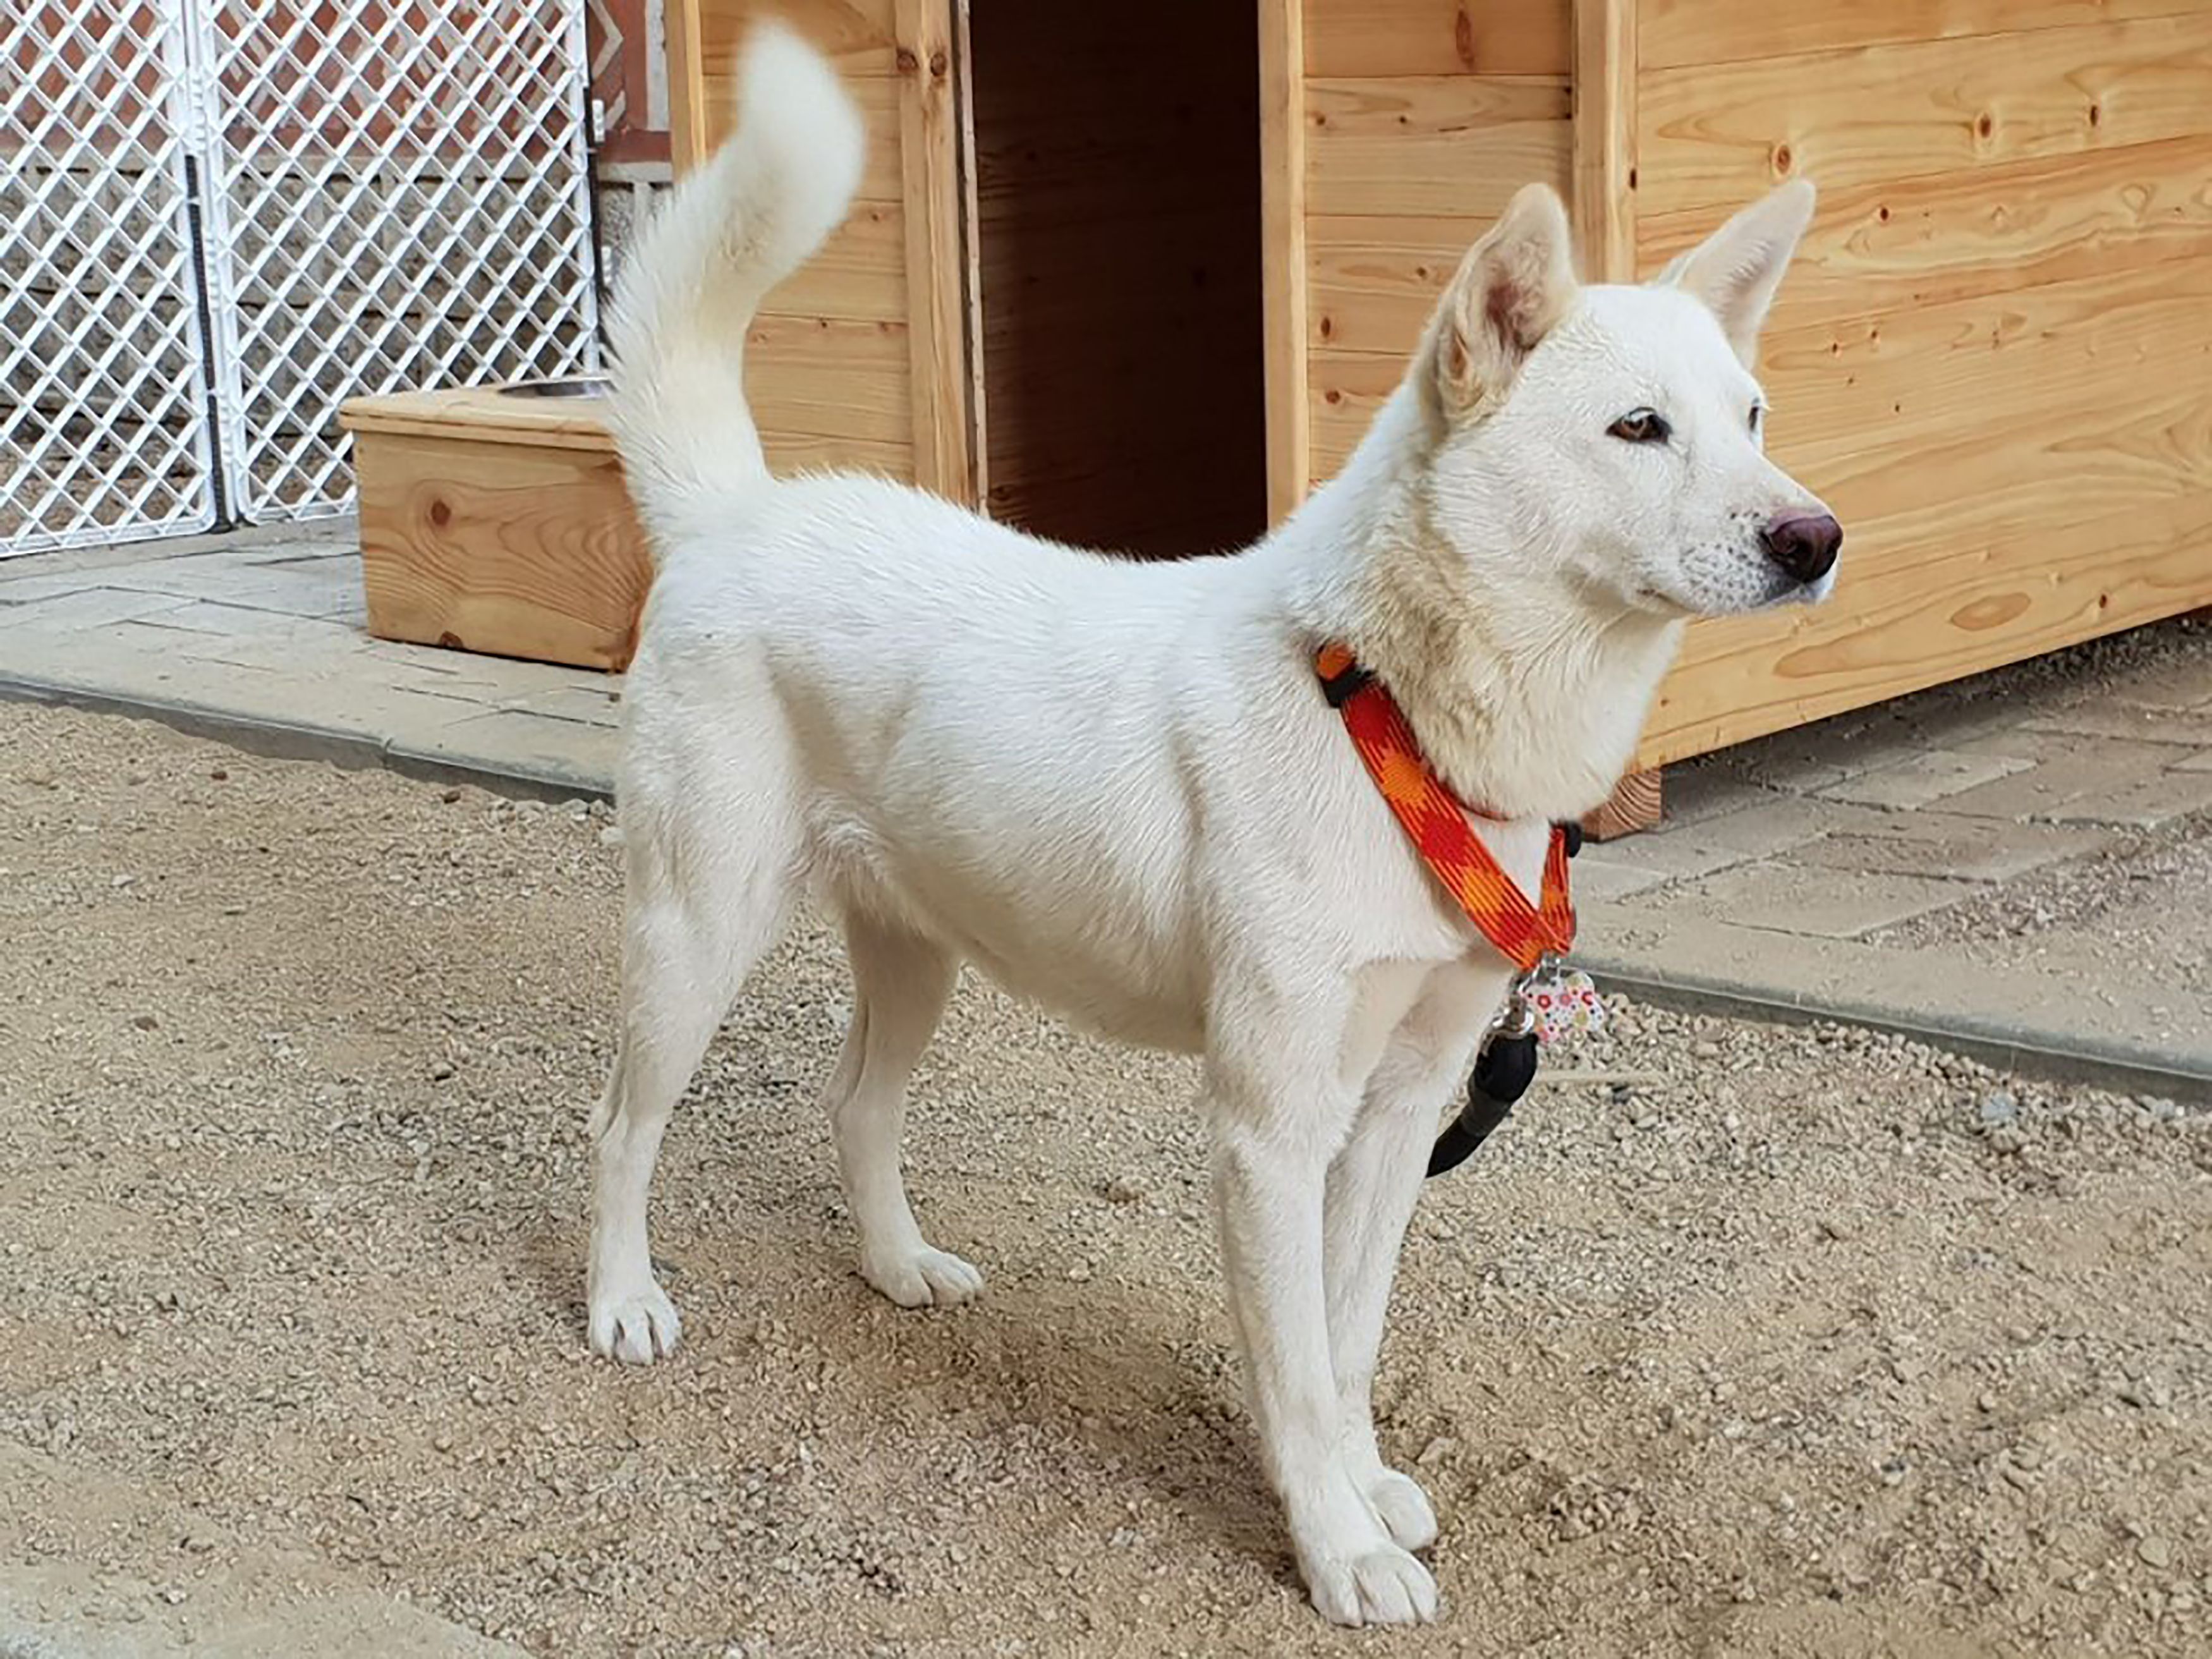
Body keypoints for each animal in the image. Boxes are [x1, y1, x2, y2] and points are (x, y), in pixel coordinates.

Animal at [580, 26, 1840, 1628]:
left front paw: (1363, 1492)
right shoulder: (1270, 1129)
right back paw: (622, 1301)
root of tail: (735, 516)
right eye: (1637, 428)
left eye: (1750, 419)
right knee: (622, 1124)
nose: (1816, 538)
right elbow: (1295, 1373)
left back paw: (897, 1266)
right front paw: (1337, 1550)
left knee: (856, 1104)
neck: (1385, 704)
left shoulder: (1400, 1111)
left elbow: (1348, 1346)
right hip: (695, 932)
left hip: (917, 948)